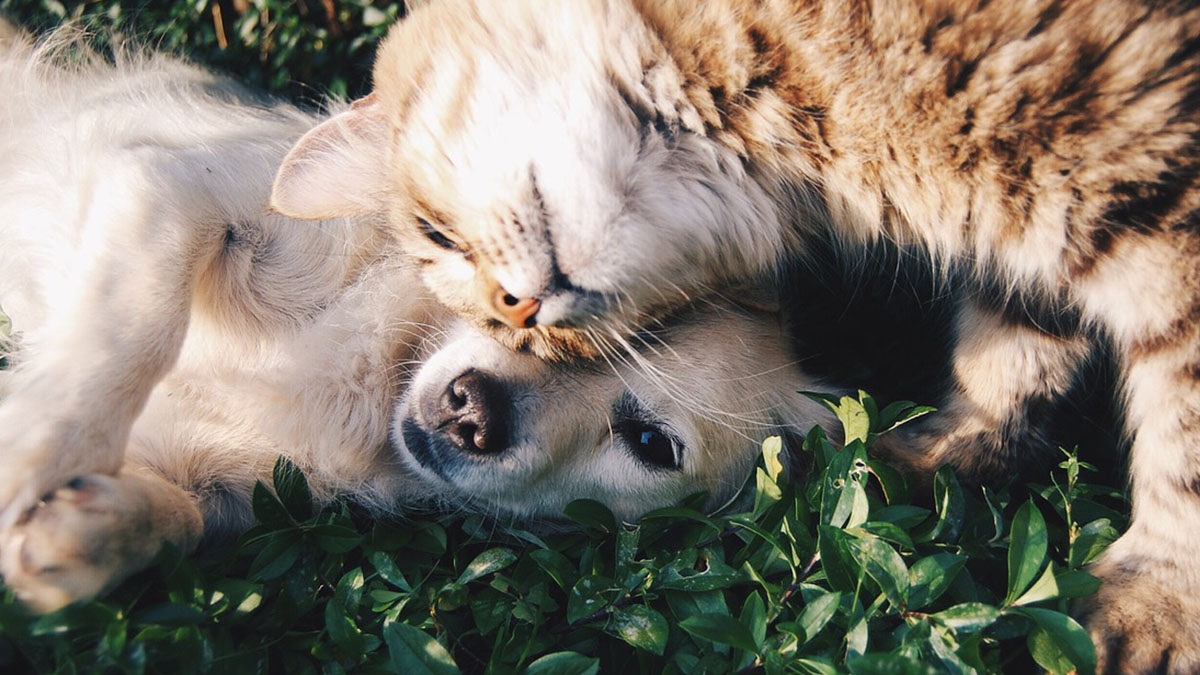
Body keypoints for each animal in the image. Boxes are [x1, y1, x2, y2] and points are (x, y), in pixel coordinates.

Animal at [270, 0, 1200, 667]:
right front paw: (941, 452)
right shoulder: (1031, 240)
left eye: (437, 236)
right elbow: (1012, 345)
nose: (519, 317)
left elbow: (1182, 436)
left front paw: (1158, 601)